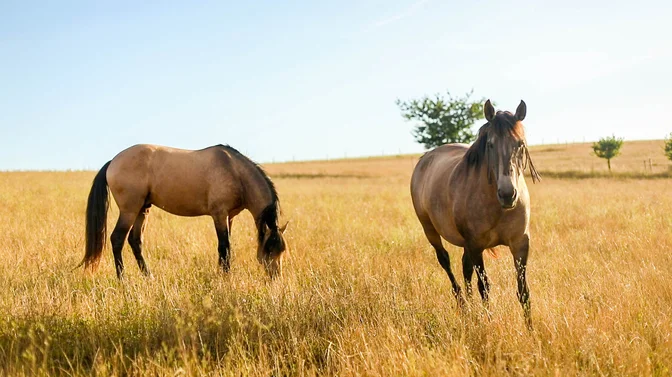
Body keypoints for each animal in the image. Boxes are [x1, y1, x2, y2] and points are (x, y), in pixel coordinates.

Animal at [79, 144, 288, 280]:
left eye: (282, 251)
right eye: (269, 250)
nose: (276, 277)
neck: (235, 172)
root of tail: (113, 161)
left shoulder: (229, 217)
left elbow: (227, 247)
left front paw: (223, 273)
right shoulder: (219, 215)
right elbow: (224, 246)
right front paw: (225, 277)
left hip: (142, 210)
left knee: (135, 241)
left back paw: (149, 276)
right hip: (129, 211)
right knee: (117, 239)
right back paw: (122, 279)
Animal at [410, 99, 540, 326]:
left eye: (520, 144)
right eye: (490, 144)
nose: (507, 194)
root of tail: (425, 158)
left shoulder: (520, 242)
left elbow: (523, 290)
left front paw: (531, 329)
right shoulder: (476, 245)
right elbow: (485, 287)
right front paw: (488, 322)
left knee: (465, 267)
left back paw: (469, 307)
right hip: (430, 230)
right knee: (446, 261)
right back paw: (463, 305)